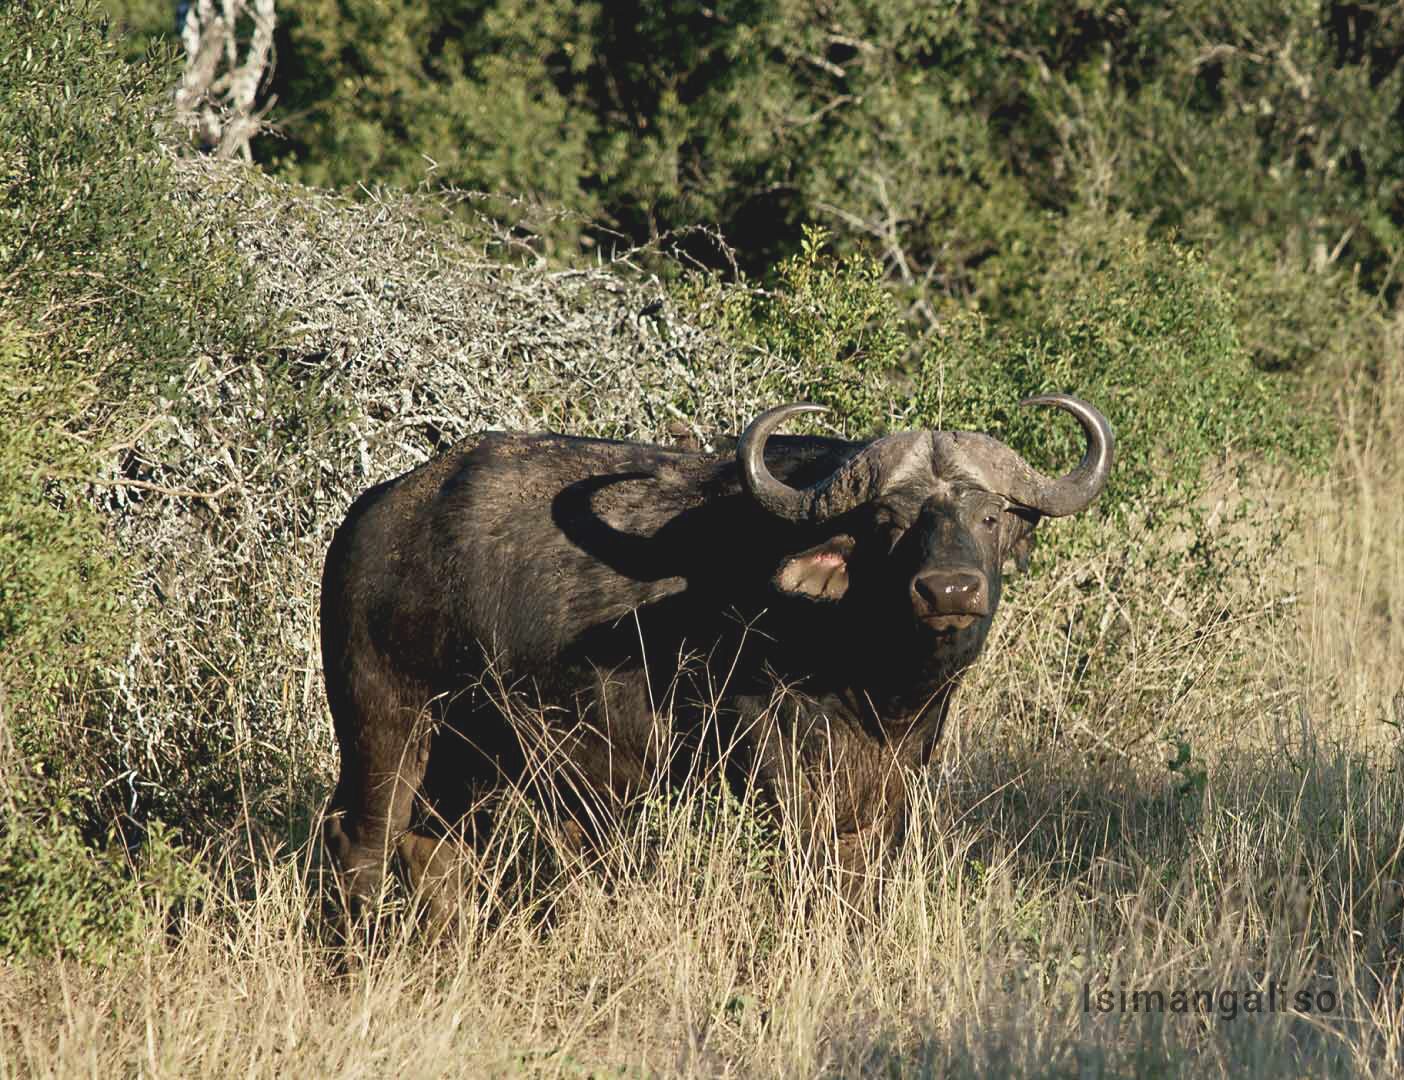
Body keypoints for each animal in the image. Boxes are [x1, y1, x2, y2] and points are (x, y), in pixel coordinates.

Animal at [320, 395, 1113, 912]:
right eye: (887, 520)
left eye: (991, 517)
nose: (948, 587)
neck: (878, 686)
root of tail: (375, 513)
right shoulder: (775, 767)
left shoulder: (888, 789)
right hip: (384, 719)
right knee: (359, 839)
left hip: (472, 753)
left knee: (434, 852)